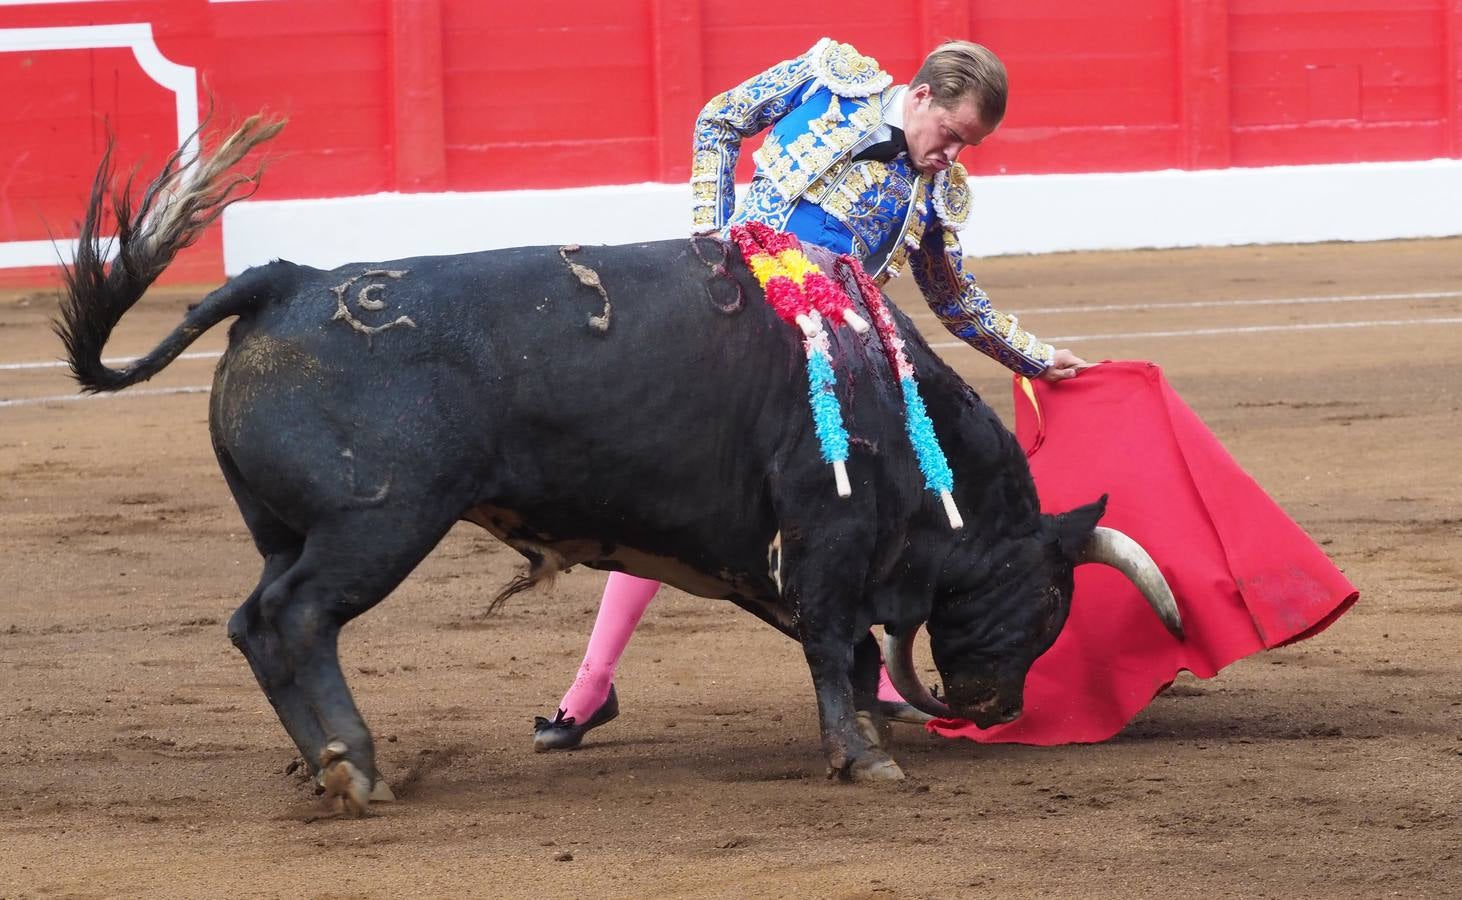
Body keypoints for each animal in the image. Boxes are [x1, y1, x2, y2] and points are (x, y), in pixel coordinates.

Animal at [57, 116, 1181, 812]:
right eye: (1049, 601)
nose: (996, 709)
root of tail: (285, 281)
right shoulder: (826, 534)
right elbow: (836, 643)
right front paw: (863, 758)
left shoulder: (766, 554)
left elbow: (854, 652)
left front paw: (868, 732)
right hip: (377, 522)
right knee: (294, 619)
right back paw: (358, 769)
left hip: (284, 530)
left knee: (259, 623)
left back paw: (327, 764)